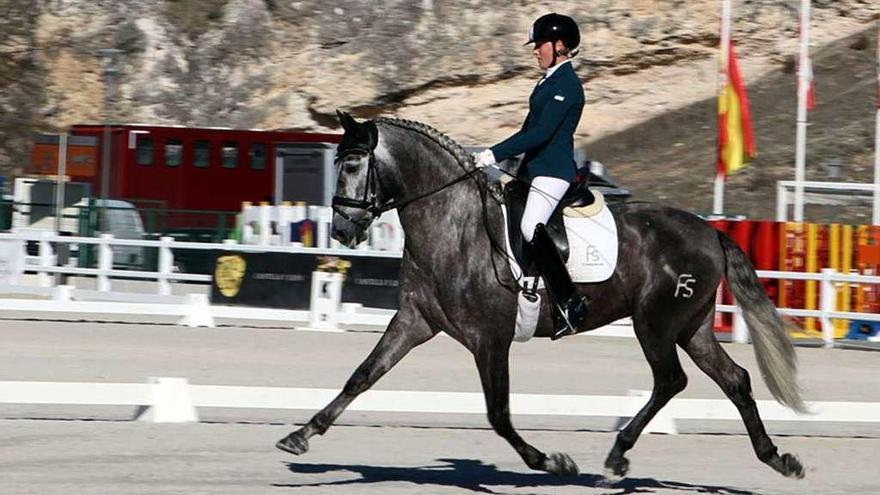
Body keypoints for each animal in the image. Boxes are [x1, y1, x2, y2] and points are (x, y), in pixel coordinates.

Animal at [278, 111, 808, 480]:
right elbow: (362, 376)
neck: (453, 226)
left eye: (351, 164)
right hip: (690, 326)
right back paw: (777, 459)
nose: (342, 230)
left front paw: (552, 462)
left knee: (670, 381)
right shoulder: (415, 321)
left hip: (655, 324)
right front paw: (299, 437)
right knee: (734, 379)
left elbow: (498, 413)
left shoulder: (490, 338)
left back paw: (617, 458)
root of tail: (710, 231)